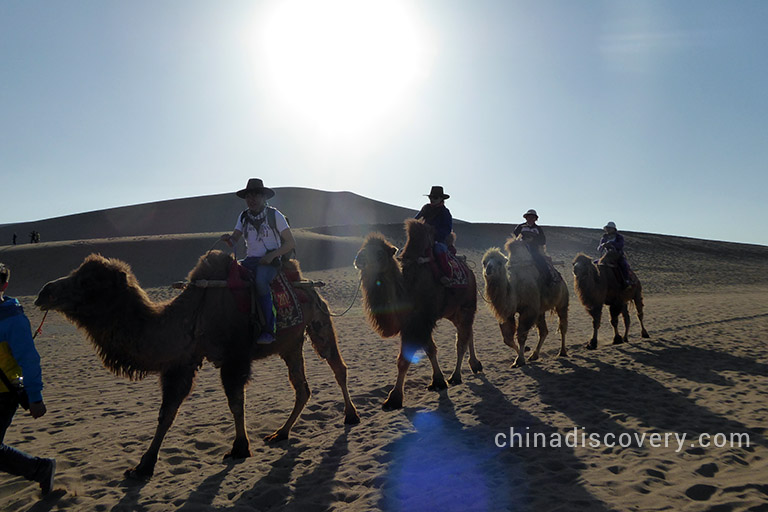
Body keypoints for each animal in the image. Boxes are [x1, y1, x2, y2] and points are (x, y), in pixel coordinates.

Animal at [33, 252, 360, 480]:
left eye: (87, 282)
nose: (44, 292)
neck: (193, 317)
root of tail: (310, 285)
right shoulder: (182, 363)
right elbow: (166, 414)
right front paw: (142, 466)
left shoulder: (234, 359)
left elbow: (235, 403)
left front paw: (240, 448)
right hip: (290, 344)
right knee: (301, 386)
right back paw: (281, 432)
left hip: (319, 320)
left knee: (337, 366)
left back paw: (351, 416)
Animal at [354, 220, 480, 412]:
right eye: (363, 248)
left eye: (380, 253)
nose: (358, 259)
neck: (407, 290)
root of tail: (470, 271)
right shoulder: (416, 323)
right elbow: (430, 350)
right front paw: (438, 381)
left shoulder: (419, 322)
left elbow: (404, 360)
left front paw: (393, 399)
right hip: (454, 311)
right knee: (468, 333)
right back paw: (474, 365)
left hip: (467, 305)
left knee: (461, 341)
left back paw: (456, 376)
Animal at [480, 238, 568, 366]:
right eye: (484, 262)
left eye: (500, 262)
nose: (489, 269)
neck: (514, 288)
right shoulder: (508, 312)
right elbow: (507, 338)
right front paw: (522, 353)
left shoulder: (528, 310)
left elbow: (521, 335)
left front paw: (520, 359)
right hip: (540, 311)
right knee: (544, 331)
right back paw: (534, 355)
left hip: (562, 301)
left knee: (562, 325)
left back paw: (562, 352)